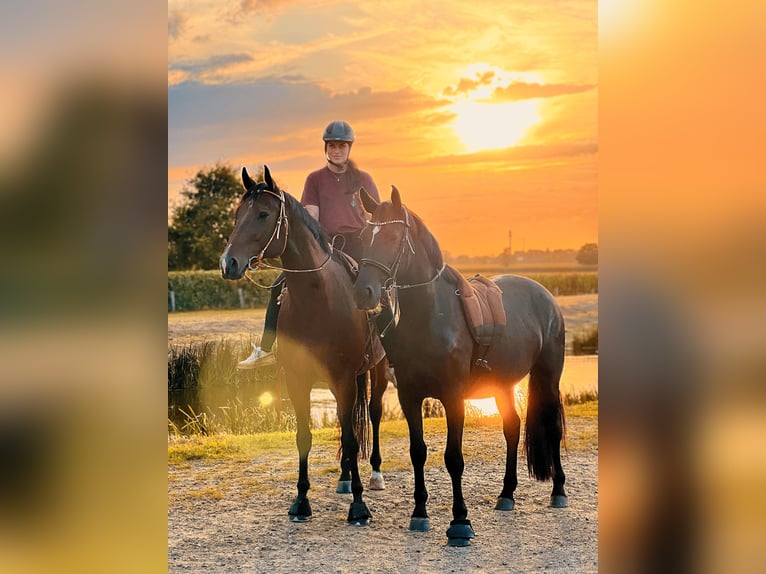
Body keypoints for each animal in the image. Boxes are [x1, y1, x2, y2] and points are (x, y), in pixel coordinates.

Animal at [220, 165, 390, 528]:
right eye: (238, 214)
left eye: (263, 214)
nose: (228, 264)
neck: (318, 300)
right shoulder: (298, 380)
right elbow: (305, 437)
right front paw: (300, 501)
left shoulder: (342, 378)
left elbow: (353, 439)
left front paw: (359, 507)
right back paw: (344, 478)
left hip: (377, 371)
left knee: (373, 414)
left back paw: (374, 476)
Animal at [356, 188, 568, 548]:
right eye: (362, 236)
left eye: (393, 237)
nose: (363, 292)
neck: (430, 316)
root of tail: (545, 295)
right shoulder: (409, 397)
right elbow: (418, 452)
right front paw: (419, 513)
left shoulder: (453, 397)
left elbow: (453, 458)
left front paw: (460, 523)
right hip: (502, 386)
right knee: (512, 428)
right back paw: (507, 494)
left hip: (549, 377)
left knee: (551, 428)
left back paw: (559, 491)